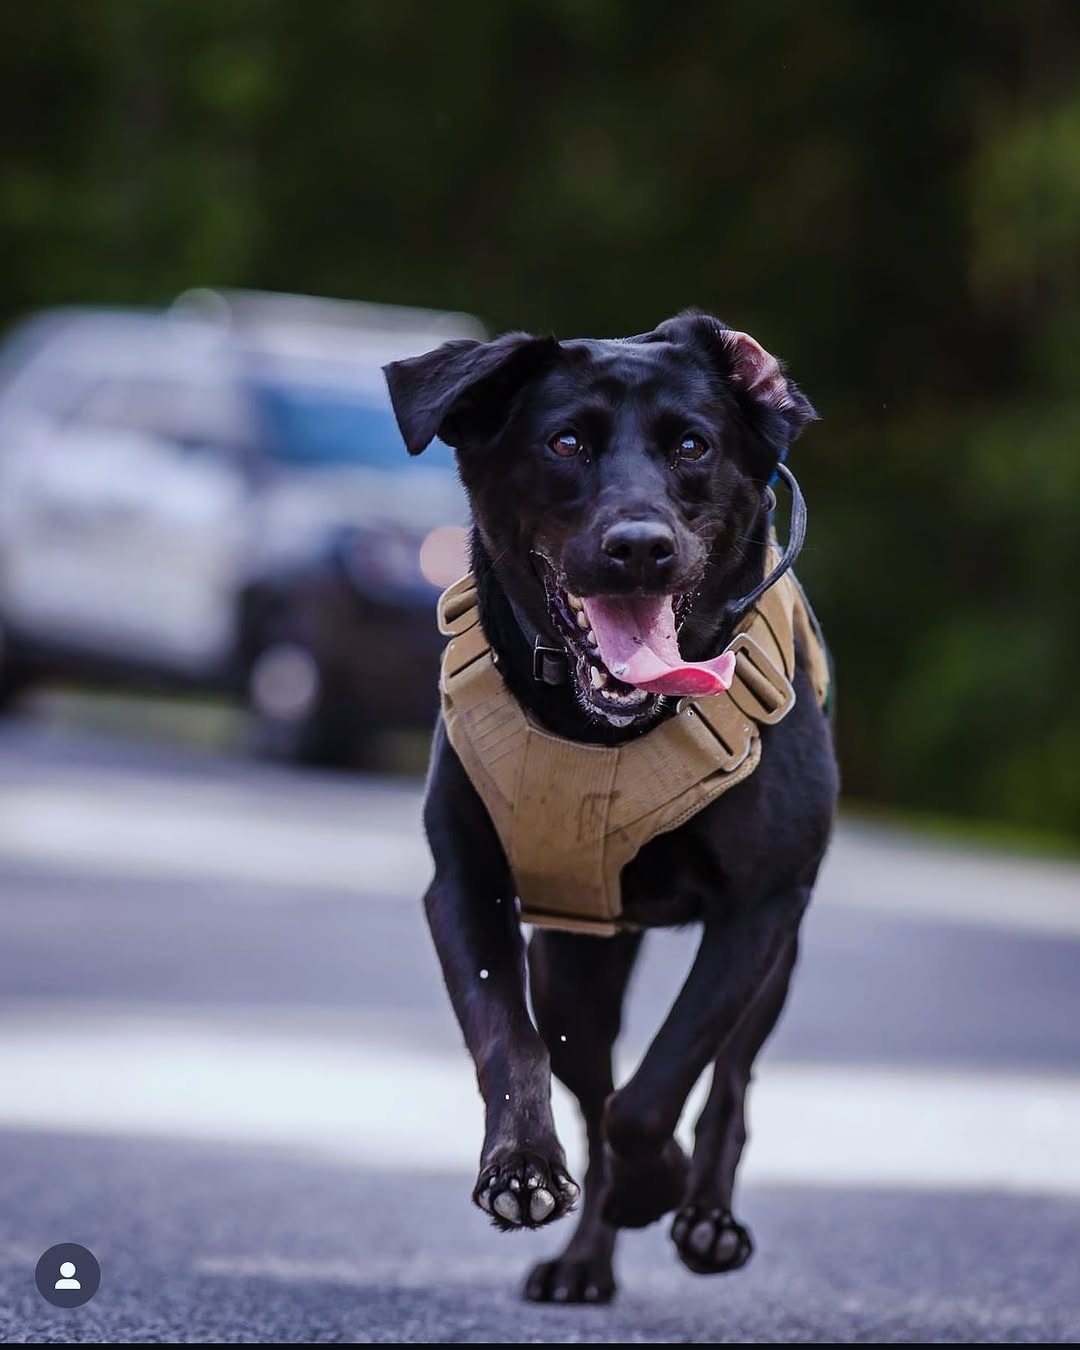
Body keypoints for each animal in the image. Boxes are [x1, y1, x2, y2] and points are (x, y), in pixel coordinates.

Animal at [383, 310, 837, 1301]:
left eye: (693, 445)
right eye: (565, 443)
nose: (639, 546)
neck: (606, 730)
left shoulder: (760, 908)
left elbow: (662, 1083)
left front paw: (655, 1185)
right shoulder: (466, 886)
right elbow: (508, 1041)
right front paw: (520, 1170)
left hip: (779, 961)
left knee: (729, 1081)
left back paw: (706, 1219)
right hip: (575, 969)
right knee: (589, 1087)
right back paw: (584, 1259)